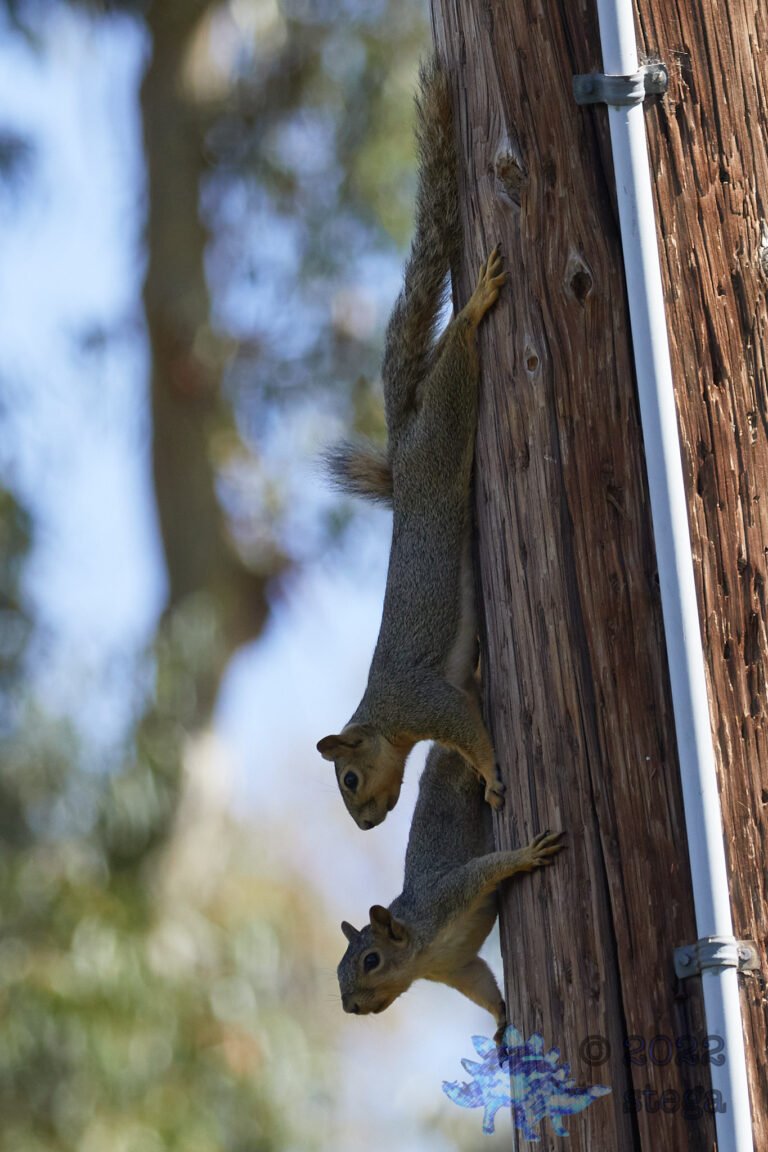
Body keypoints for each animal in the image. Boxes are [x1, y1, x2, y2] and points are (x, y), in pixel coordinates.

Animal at [337, 744, 564, 1042]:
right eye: (339, 970)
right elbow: (480, 984)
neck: (422, 954)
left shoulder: (448, 895)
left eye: (371, 960)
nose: (350, 1007)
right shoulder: (456, 968)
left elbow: (486, 868)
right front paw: (500, 1018)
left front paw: (527, 855)